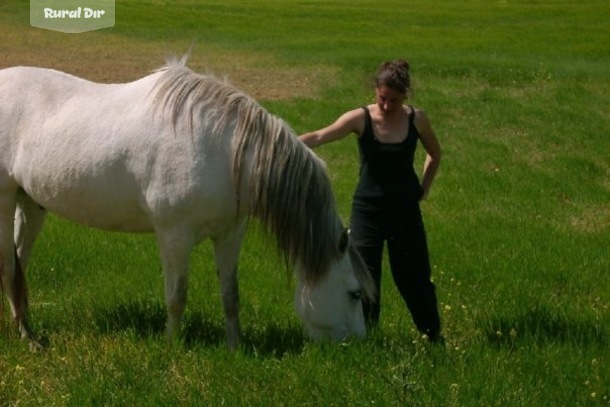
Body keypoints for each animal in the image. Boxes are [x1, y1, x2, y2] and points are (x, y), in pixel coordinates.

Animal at [0, 59, 376, 350]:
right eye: (355, 294)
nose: (359, 346)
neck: (224, 149)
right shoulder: (175, 236)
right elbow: (176, 296)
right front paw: (172, 346)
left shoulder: (229, 235)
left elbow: (231, 295)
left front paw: (235, 346)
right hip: (5, 200)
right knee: (10, 269)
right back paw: (29, 339)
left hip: (30, 204)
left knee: (20, 266)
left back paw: (25, 329)